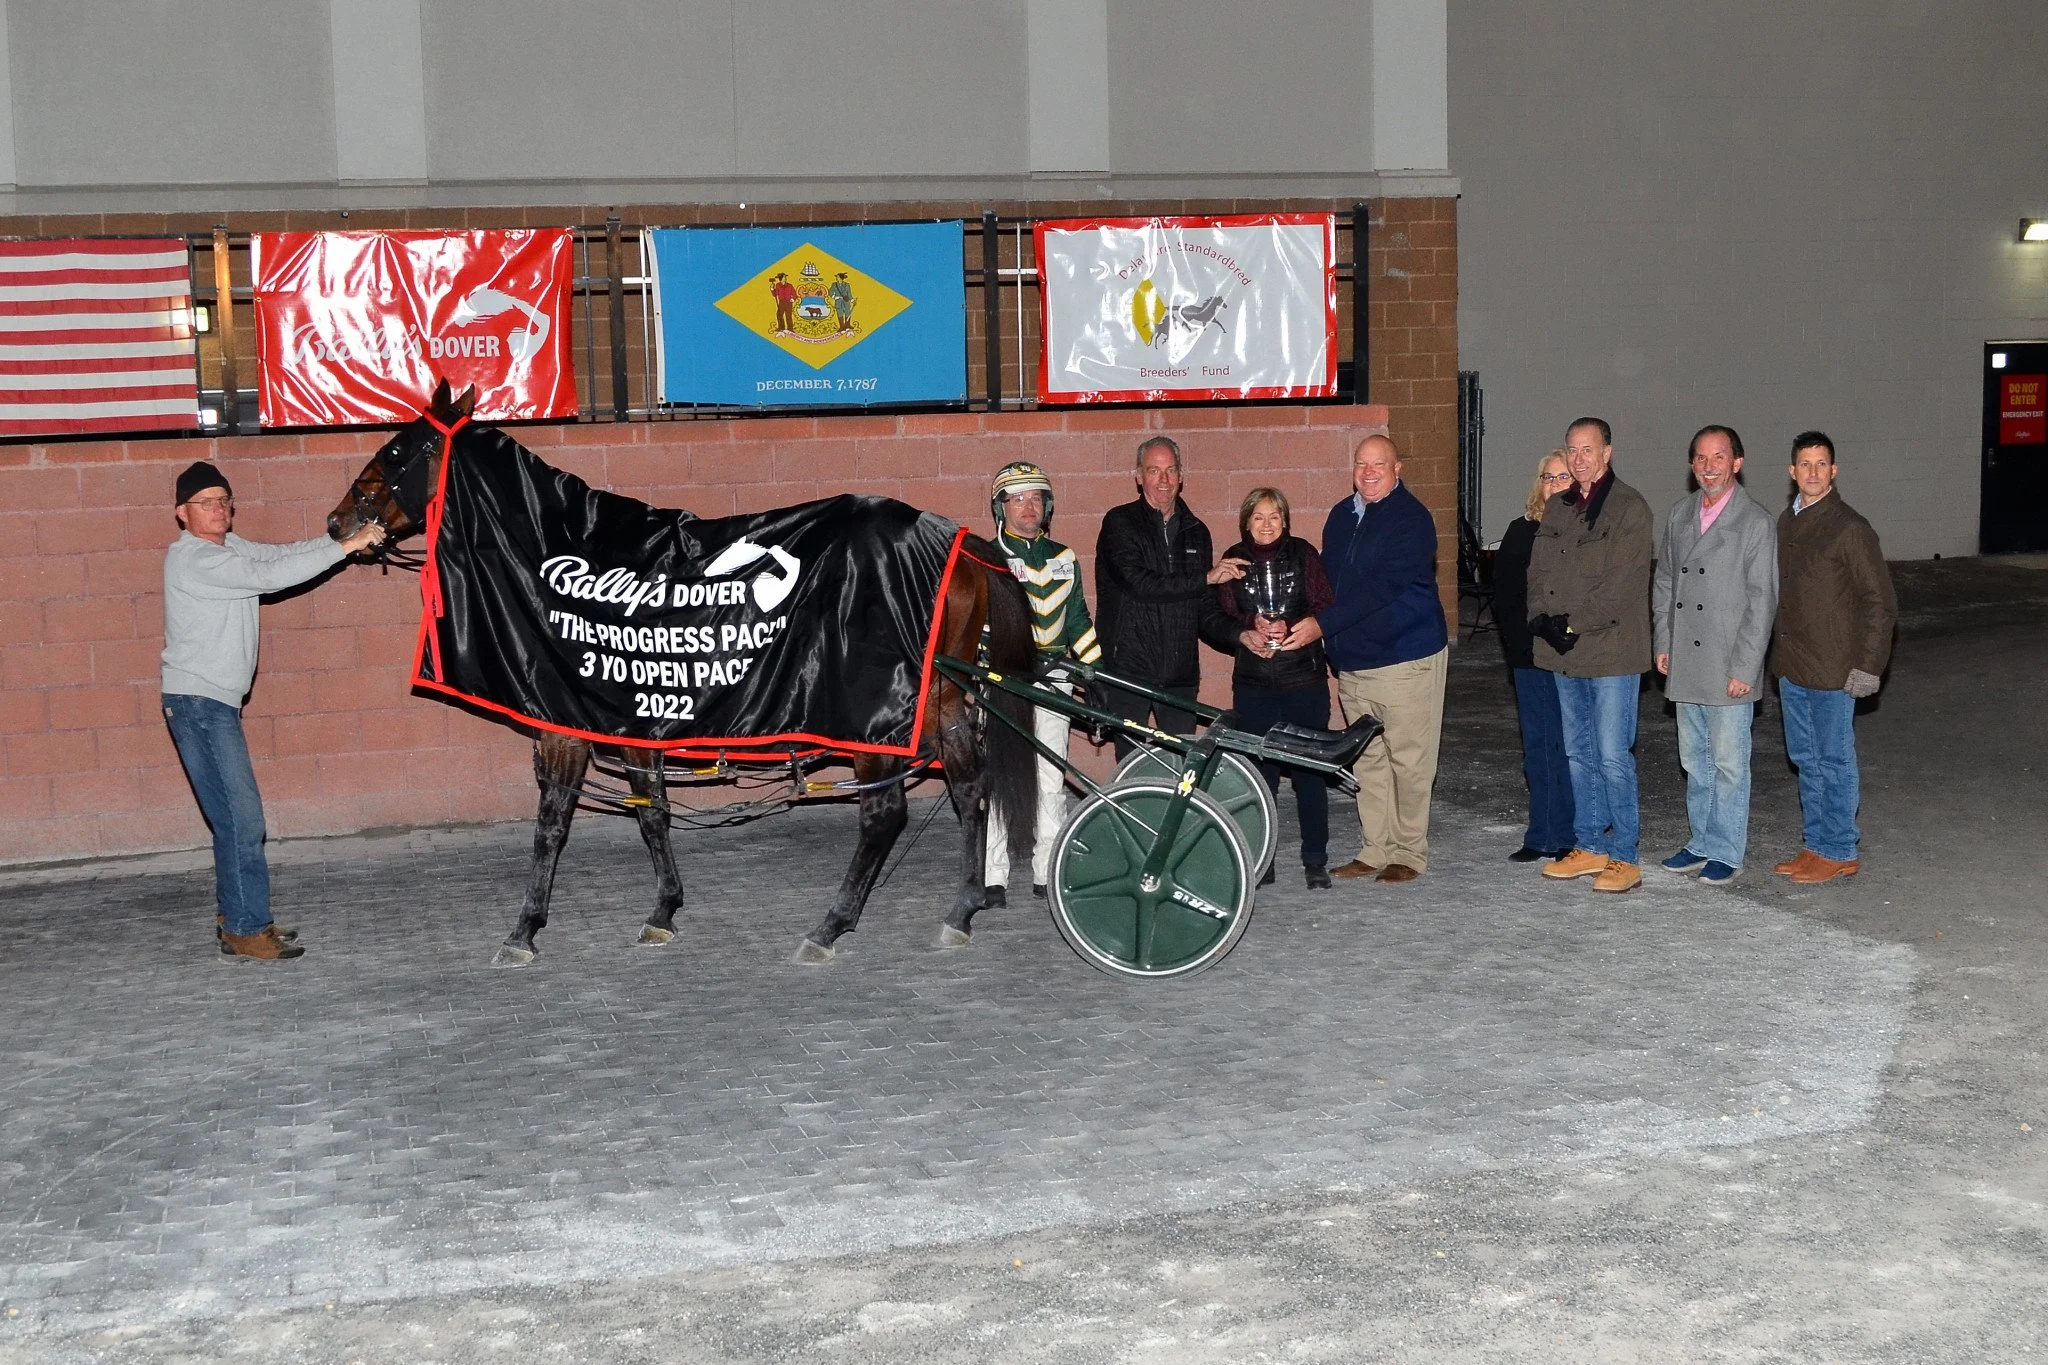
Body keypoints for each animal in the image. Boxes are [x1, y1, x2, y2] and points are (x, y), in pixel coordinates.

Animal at [327, 382, 1037, 967]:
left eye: (400, 448)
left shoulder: (565, 728)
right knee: (970, 789)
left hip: (874, 720)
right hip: (942, 701)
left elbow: (552, 824)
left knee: (884, 813)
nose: (337, 521)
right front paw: (664, 909)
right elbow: (653, 814)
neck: (562, 552)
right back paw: (962, 908)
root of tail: (958, 541)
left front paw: (524, 929)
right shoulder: (631, 719)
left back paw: (830, 926)